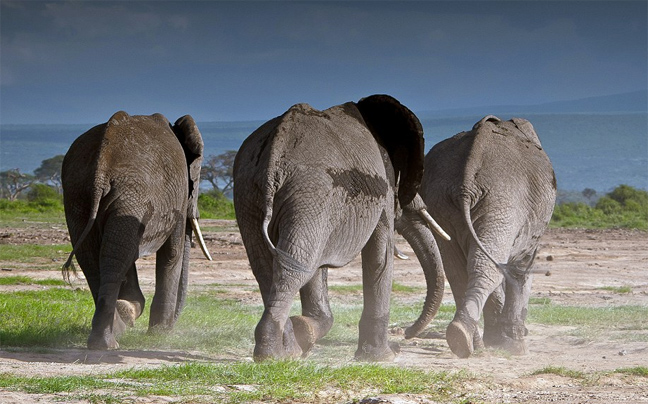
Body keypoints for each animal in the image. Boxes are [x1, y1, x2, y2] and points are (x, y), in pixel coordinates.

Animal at [62, 111, 211, 350]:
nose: (172, 326)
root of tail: (101, 166)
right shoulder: (178, 197)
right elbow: (172, 253)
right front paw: (160, 334)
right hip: (132, 194)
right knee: (113, 255)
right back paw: (109, 340)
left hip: (80, 194)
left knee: (99, 257)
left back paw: (109, 334)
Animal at [233, 95, 450, 362]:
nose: (407, 335)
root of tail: (274, 151)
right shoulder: (383, 185)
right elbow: (380, 254)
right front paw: (382, 357)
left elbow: (320, 265)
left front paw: (305, 331)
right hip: (310, 190)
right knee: (295, 265)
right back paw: (274, 356)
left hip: (252, 192)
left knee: (270, 265)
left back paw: (287, 352)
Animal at [410, 115, 556, 358]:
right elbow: (521, 270)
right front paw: (515, 346)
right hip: (504, 199)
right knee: (488, 266)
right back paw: (474, 340)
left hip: (443, 200)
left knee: (460, 269)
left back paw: (466, 340)